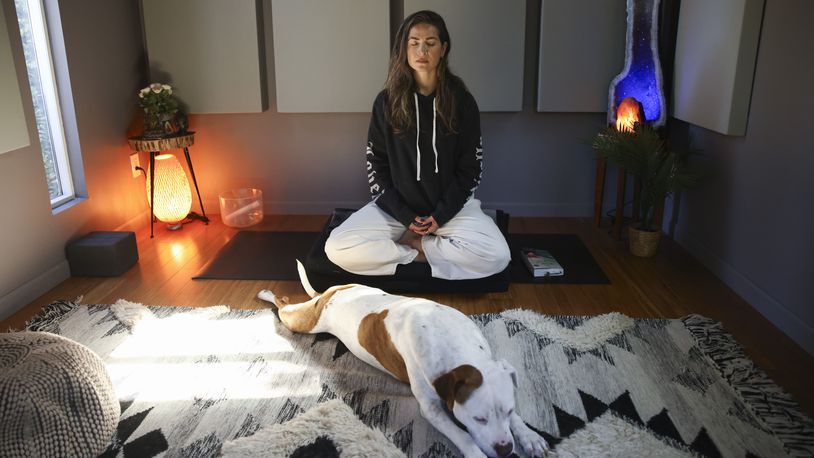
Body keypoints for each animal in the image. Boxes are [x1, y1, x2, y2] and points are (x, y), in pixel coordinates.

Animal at [258, 262, 552, 458]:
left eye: (509, 411)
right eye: (478, 419)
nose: (505, 449)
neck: (454, 341)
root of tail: (334, 289)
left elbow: (517, 420)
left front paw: (530, 436)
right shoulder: (432, 409)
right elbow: (463, 435)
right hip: (304, 321)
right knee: (282, 305)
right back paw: (266, 294)